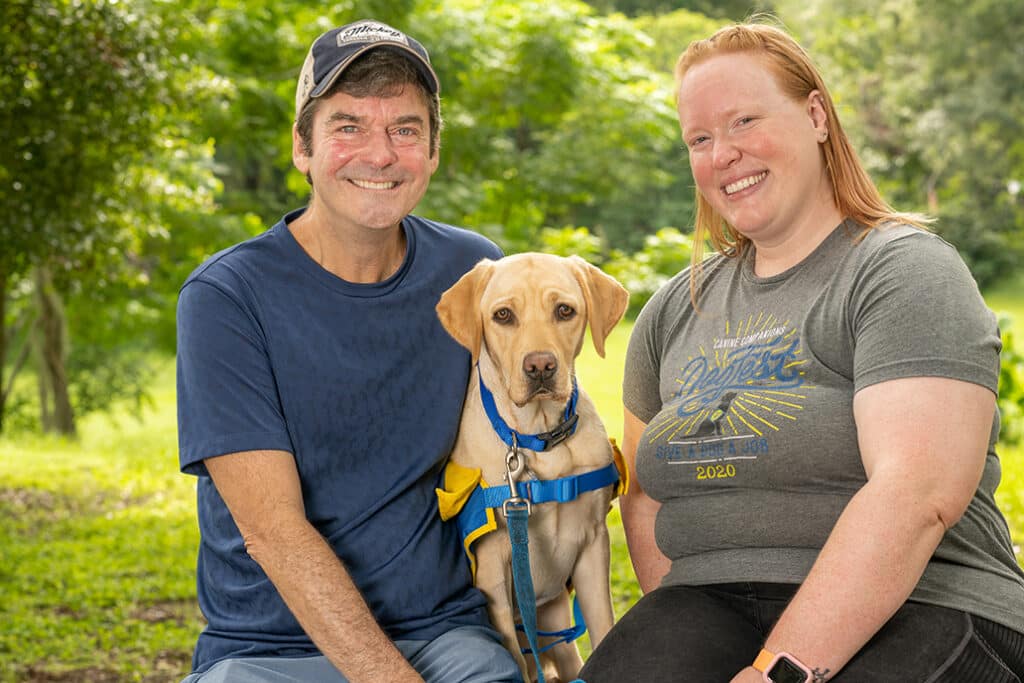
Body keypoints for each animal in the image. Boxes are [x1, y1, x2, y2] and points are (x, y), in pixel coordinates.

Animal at [436, 253, 626, 679]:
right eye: (503, 315)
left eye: (564, 310)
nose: (540, 366)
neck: (539, 439)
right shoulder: (493, 571)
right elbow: (518, 665)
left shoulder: (593, 546)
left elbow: (605, 629)